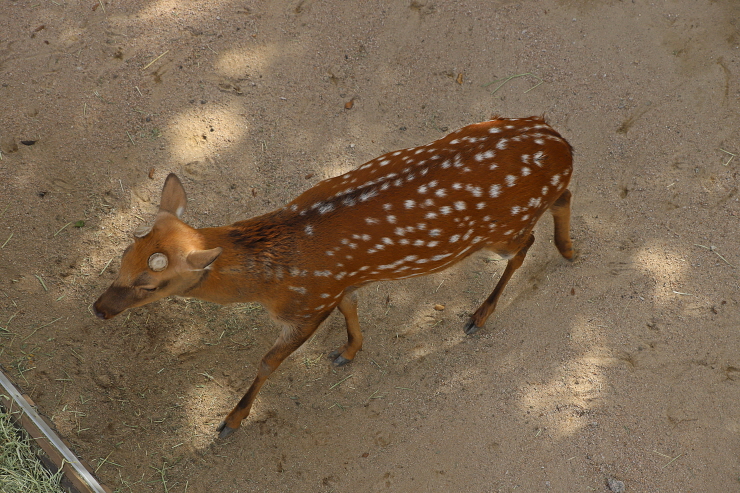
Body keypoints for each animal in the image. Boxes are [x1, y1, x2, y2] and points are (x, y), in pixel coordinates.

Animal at [93, 116, 575, 439]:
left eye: (150, 284)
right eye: (123, 257)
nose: (98, 309)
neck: (269, 279)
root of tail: (561, 140)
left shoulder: (309, 303)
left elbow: (269, 361)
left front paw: (230, 421)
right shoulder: (337, 284)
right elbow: (351, 307)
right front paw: (349, 351)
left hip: (501, 231)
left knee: (527, 243)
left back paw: (482, 313)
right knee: (562, 199)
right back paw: (568, 248)